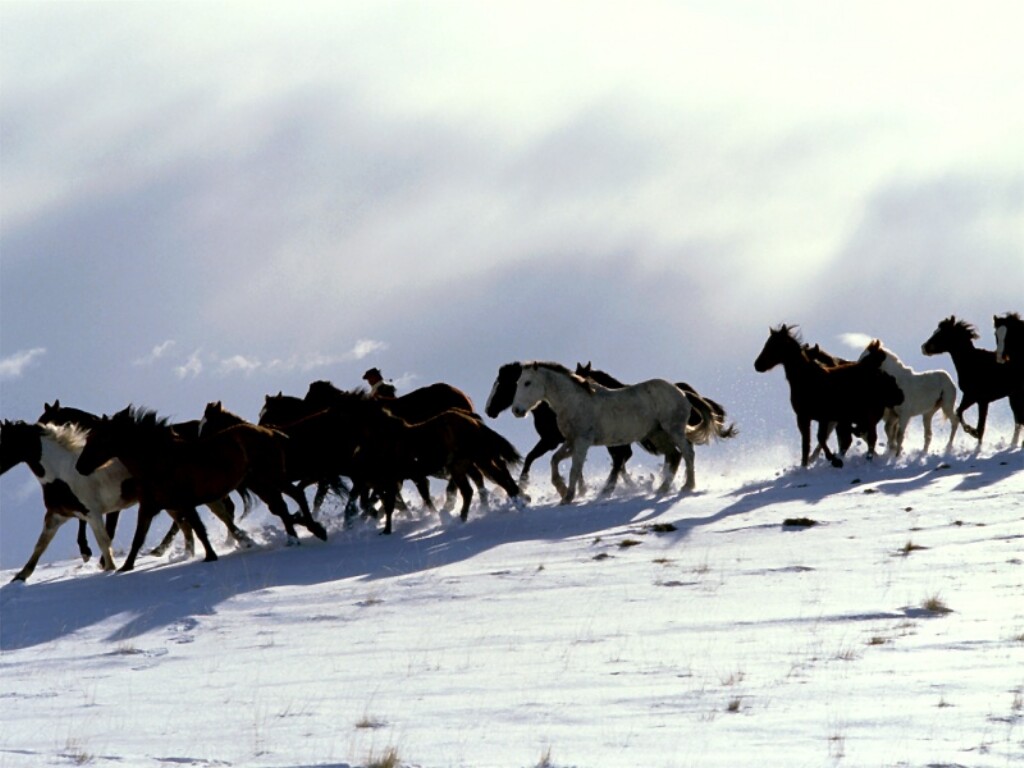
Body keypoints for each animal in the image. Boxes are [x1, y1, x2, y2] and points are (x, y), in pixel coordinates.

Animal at [75, 409, 323, 573]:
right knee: (281, 505)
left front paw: (211, 556)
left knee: (294, 496)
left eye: (100, 439)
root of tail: (269, 431)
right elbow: (139, 537)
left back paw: (312, 531)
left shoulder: (184, 503)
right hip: (259, 483)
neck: (160, 462)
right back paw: (297, 535)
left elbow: (198, 529)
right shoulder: (150, 506)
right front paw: (125, 567)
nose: (79, 467)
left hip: (270, 478)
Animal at [507, 362, 724, 505]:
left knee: (687, 453)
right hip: (658, 435)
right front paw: (562, 490)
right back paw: (662, 488)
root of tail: (681, 392)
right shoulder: (571, 441)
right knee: (674, 456)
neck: (574, 401)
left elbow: (574, 470)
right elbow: (555, 461)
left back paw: (688, 486)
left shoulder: (582, 442)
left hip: (674, 431)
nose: (517, 410)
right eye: (517, 383)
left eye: (527, 382)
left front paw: (568, 497)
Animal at [753, 325, 905, 468]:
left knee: (870, 437)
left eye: (774, 345)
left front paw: (834, 460)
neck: (808, 380)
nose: (757, 365)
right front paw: (805, 465)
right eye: (767, 343)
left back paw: (867, 459)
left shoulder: (824, 417)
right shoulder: (803, 418)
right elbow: (806, 444)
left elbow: (820, 438)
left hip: (868, 414)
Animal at [921, 317, 1024, 450]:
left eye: (940, 334)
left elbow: (981, 426)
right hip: (1013, 397)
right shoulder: (969, 396)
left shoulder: (982, 400)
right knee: (1018, 420)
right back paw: (1013, 444)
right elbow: (959, 412)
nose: (923, 347)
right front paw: (970, 430)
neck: (972, 363)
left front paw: (976, 442)